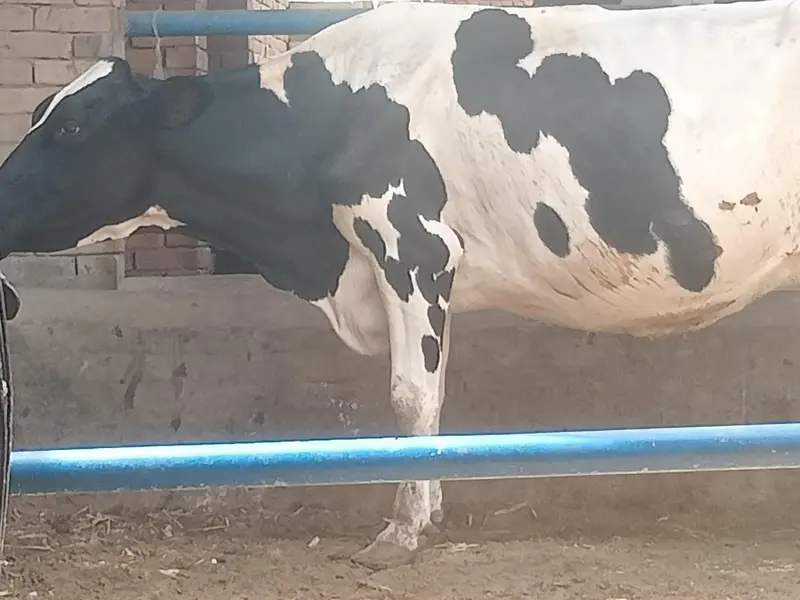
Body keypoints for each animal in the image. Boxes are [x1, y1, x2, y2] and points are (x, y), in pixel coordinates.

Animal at [0, 0, 798, 569]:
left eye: (71, 129)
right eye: (39, 113)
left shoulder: (412, 244)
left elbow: (412, 397)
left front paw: (403, 531)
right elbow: (429, 398)